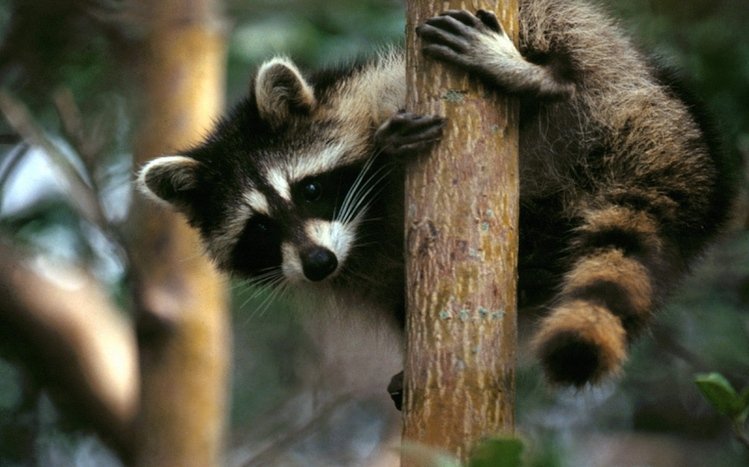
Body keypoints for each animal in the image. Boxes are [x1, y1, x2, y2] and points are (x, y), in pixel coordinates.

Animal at [137, 1, 735, 388]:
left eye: (308, 188)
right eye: (259, 228)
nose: (317, 263)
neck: (364, 228)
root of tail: (682, 144)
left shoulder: (379, 86)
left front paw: (386, 151)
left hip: (617, 82)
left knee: (564, 32)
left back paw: (542, 79)